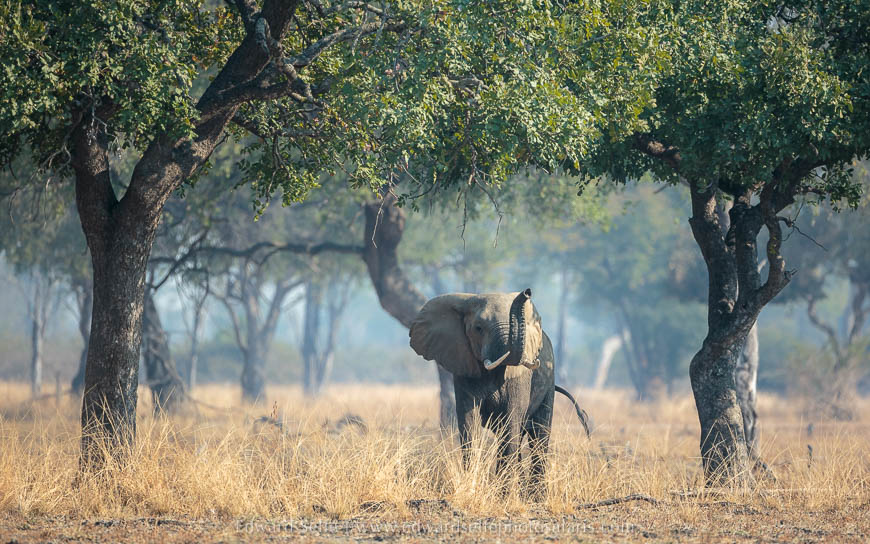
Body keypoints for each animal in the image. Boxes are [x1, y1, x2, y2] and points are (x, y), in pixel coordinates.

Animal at [409, 288, 590, 493]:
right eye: (478, 328)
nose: (527, 292)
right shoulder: (463, 366)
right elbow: (469, 422)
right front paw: (473, 487)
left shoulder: (520, 376)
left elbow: (511, 419)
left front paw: (504, 493)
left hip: (549, 382)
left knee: (538, 434)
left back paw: (535, 495)